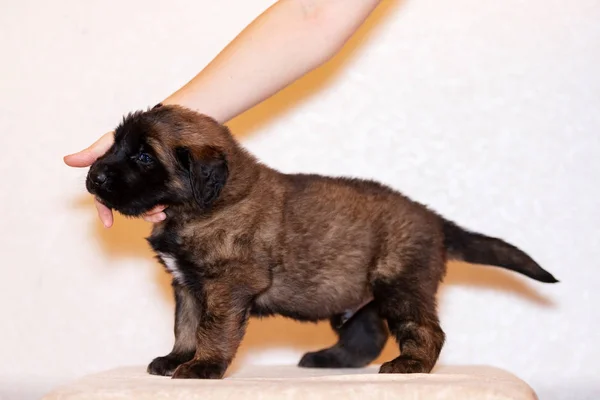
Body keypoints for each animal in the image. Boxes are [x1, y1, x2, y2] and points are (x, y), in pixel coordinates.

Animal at [84, 104, 556, 380]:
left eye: (144, 156)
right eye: (116, 145)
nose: (94, 176)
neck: (207, 204)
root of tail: (433, 218)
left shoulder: (229, 284)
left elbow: (212, 328)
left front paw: (203, 366)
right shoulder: (187, 285)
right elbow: (184, 326)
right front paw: (177, 358)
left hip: (400, 282)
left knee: (425, 329)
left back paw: (412, 364)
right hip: (360, 294)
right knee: (366, 336)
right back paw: (332, 361)